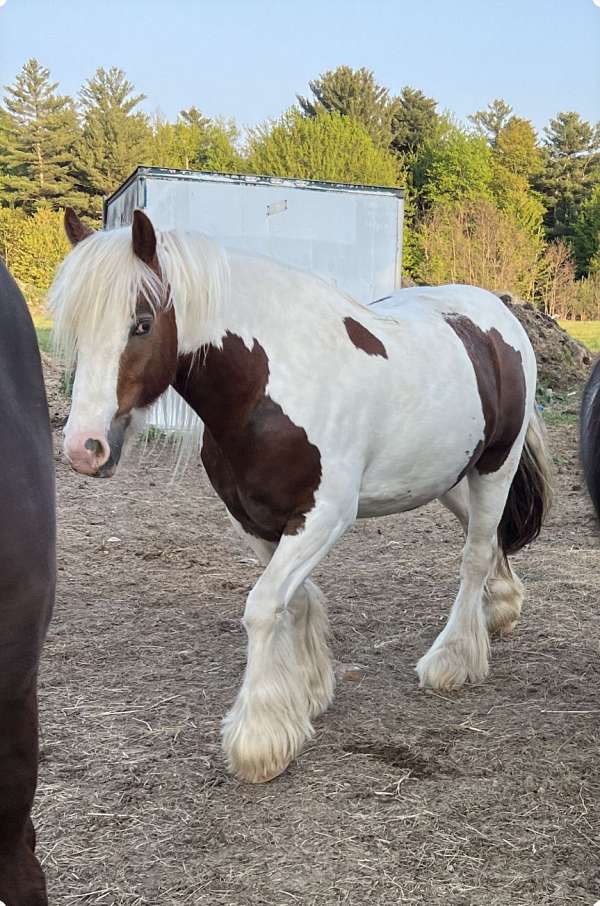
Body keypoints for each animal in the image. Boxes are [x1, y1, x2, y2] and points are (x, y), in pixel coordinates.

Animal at [49, 208, 552, 780]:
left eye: (142, 323)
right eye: (76, 328)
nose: (84, 447)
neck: (267, 388)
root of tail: (496, 315)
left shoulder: (323, 515)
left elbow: (264, 606)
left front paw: (259, 738)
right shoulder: (253, 518)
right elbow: (296, 600)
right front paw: (307, 692)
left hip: (495, 466)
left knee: (473, 556)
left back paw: (453, 659)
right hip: (447, 476)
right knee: (485, 539)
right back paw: (500, 609)